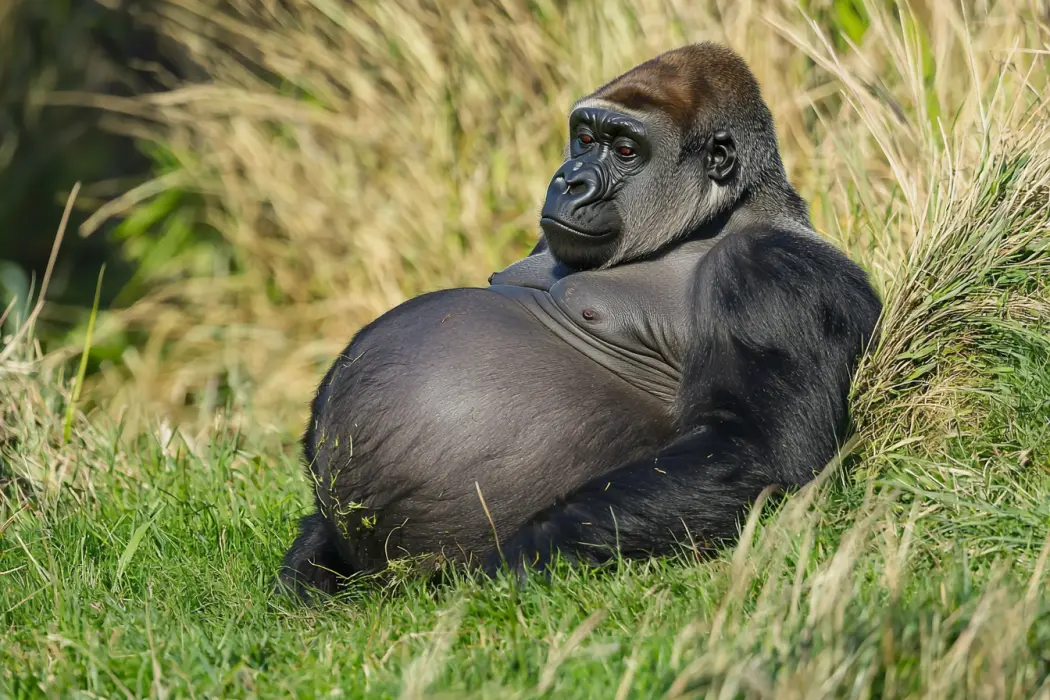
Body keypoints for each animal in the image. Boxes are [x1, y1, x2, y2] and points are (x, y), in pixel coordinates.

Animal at [277, 42, 882, 597]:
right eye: (585, 139)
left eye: (626, 150)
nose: (569, 180)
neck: (718, 216)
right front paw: (309, 556)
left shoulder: (774, 275)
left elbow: (757, 451)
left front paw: (511, 566)